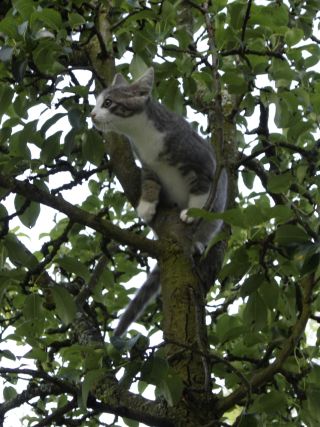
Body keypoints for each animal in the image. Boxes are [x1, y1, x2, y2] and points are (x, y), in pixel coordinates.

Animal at [90, 67, 228, 338]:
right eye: (97, 102)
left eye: (108, 103)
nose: (92, 114)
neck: (144, 136)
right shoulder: (147, 165)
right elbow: (150, 183)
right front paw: (146, 206)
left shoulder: (203, 165)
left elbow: (203, 188)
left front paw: (192, 212)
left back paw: (197, 242)